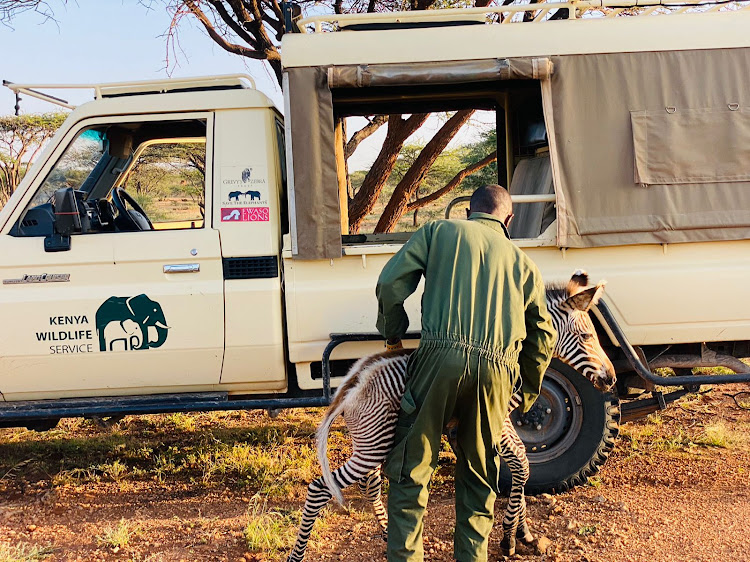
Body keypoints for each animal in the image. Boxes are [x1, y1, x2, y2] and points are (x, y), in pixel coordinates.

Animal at [288, 270, 616, 556]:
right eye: (587, 337)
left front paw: (522, 532)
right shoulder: (494, 420)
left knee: (369, 484)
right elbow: (519, 466)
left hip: (373, 439)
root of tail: (352, 383)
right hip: (372, 444)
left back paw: (386, 532)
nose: (612, 379)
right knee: (320, 487)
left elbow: (521, 463)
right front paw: (510, 537)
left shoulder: (505, 423)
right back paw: (298, 554)